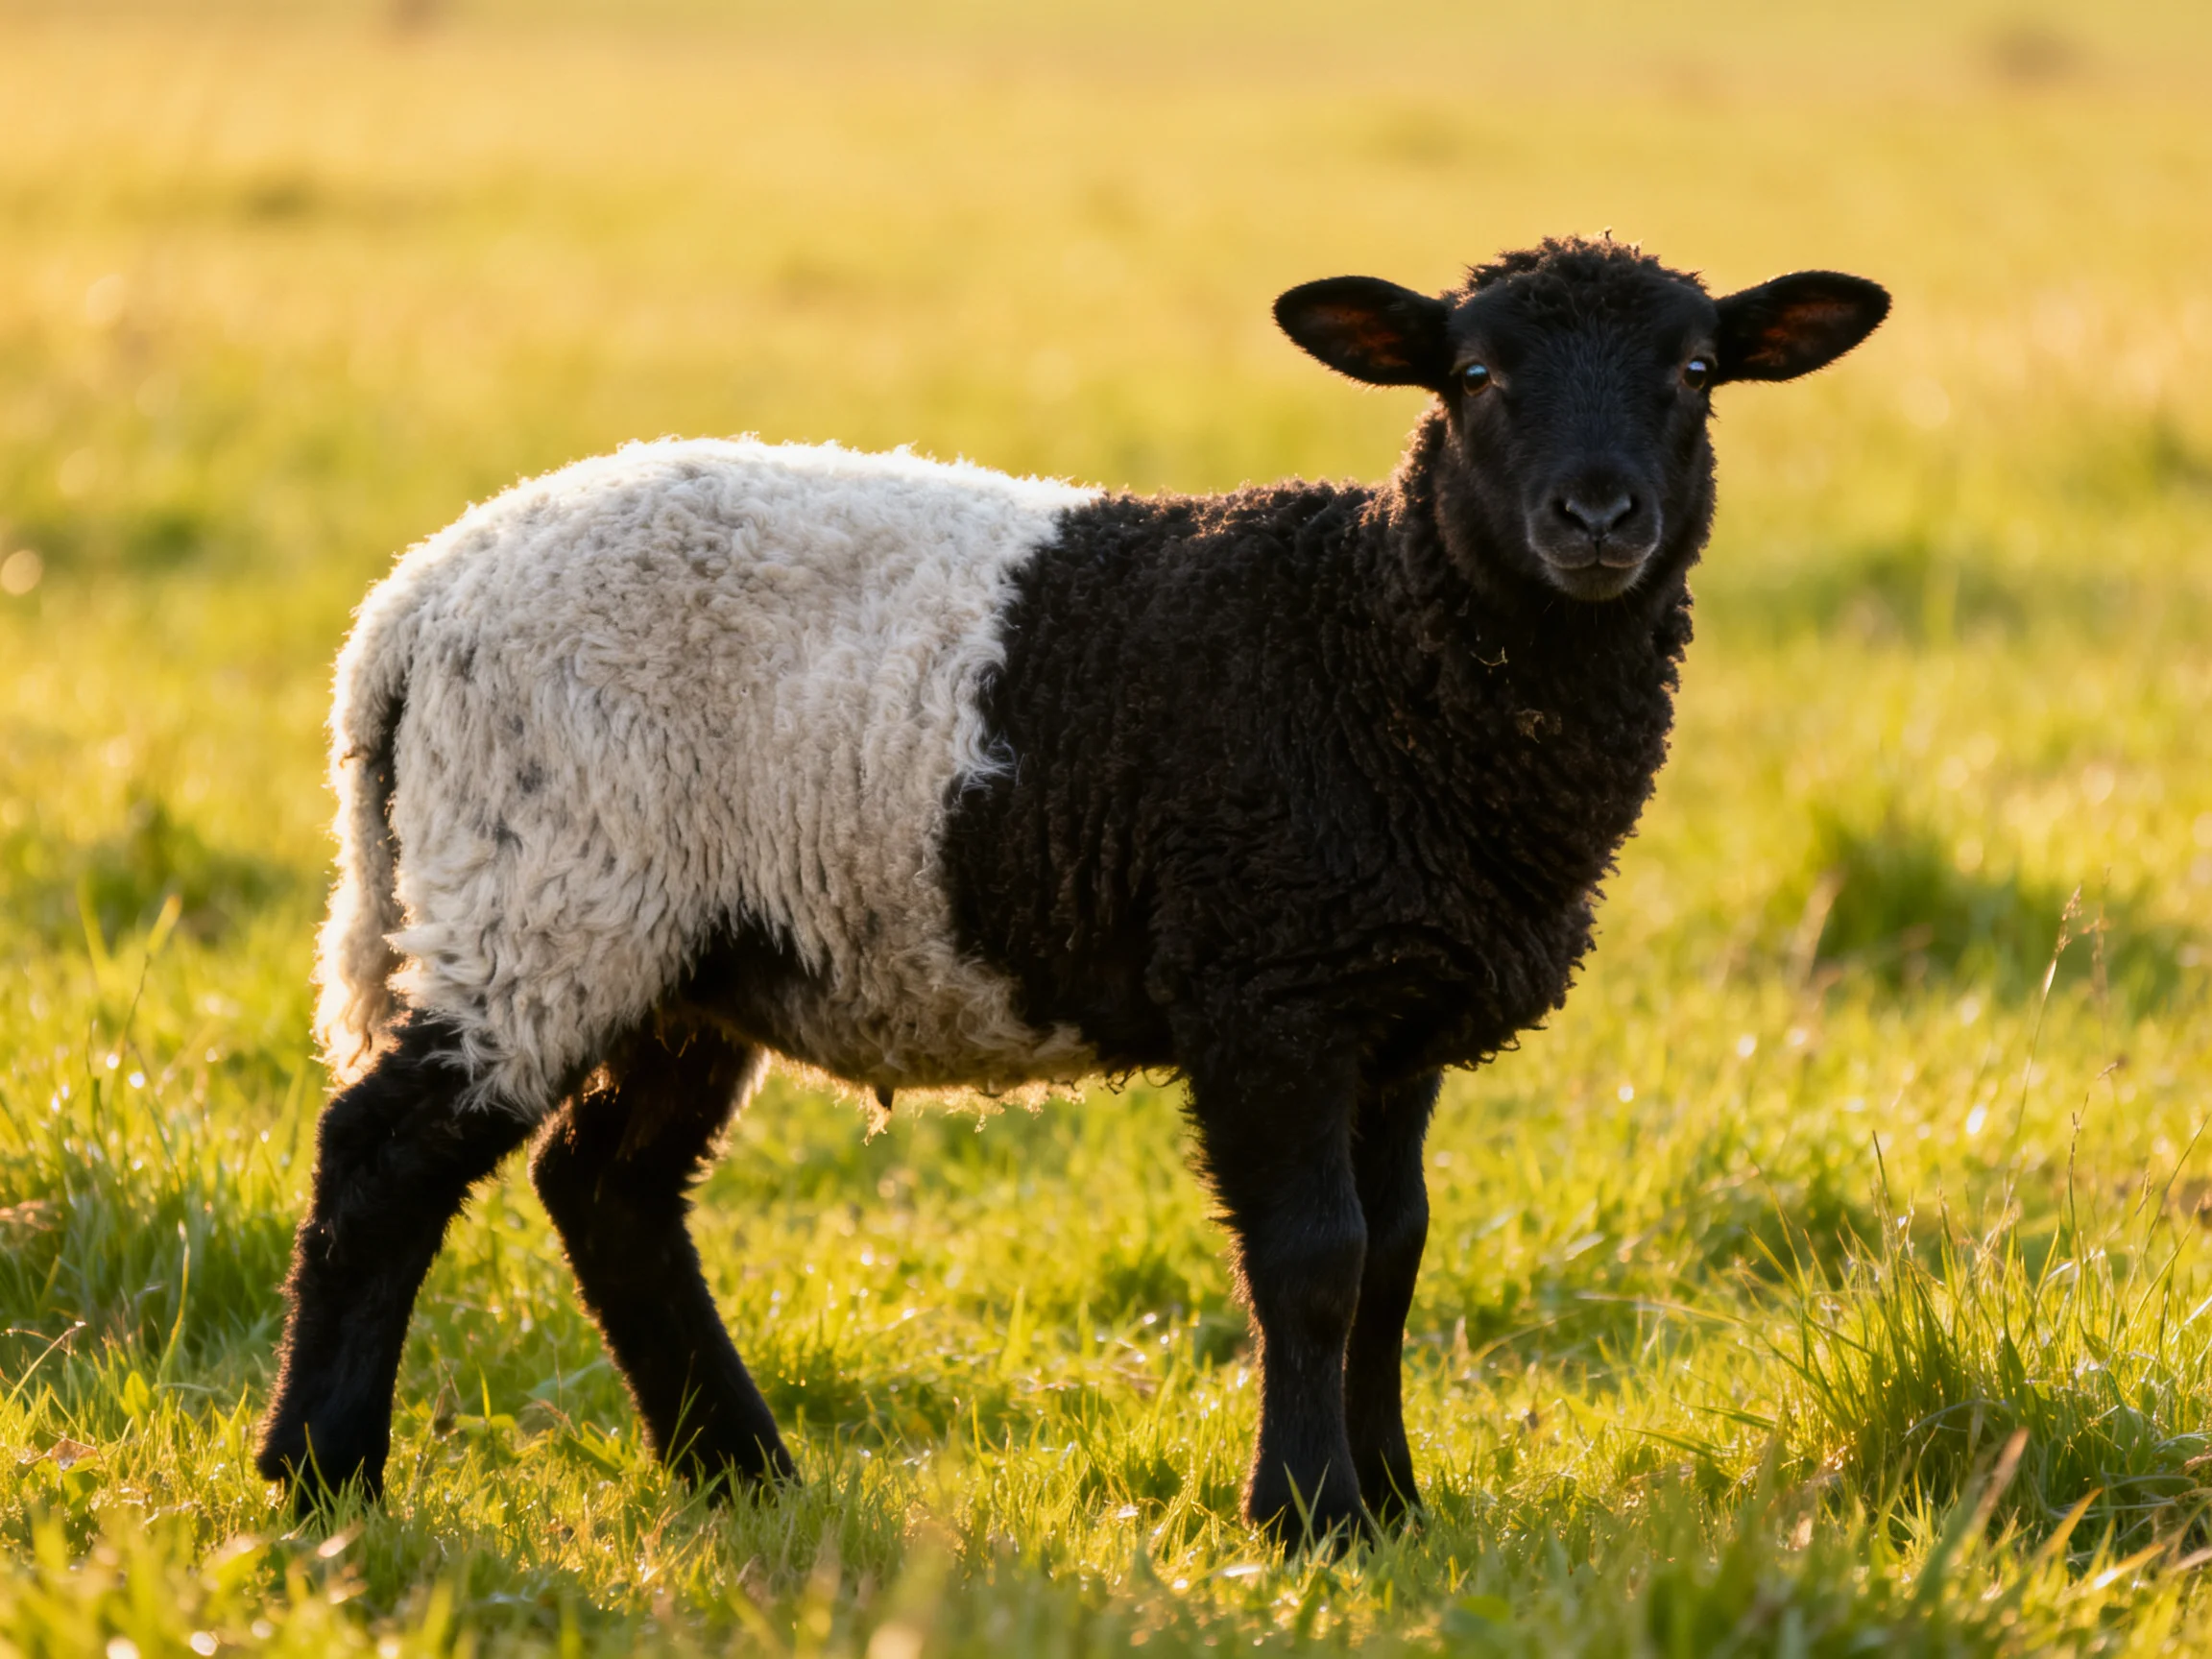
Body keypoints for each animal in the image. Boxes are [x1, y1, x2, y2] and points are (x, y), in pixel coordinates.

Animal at [257, 236, 1888, 1545]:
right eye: (1476, 374)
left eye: (1695, 372)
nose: (1597, 519)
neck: (1381, 645)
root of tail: (415, 602)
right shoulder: (1268, 989)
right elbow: (1316, 1260)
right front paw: (1307, 1520)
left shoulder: (1394, 1011)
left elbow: (1398, 1257)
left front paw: (1398, 1504)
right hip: (547, 895)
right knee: (383, 1161)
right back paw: (320, 1478)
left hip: (690, 947)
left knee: (607, 1188)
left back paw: (742, 1474)